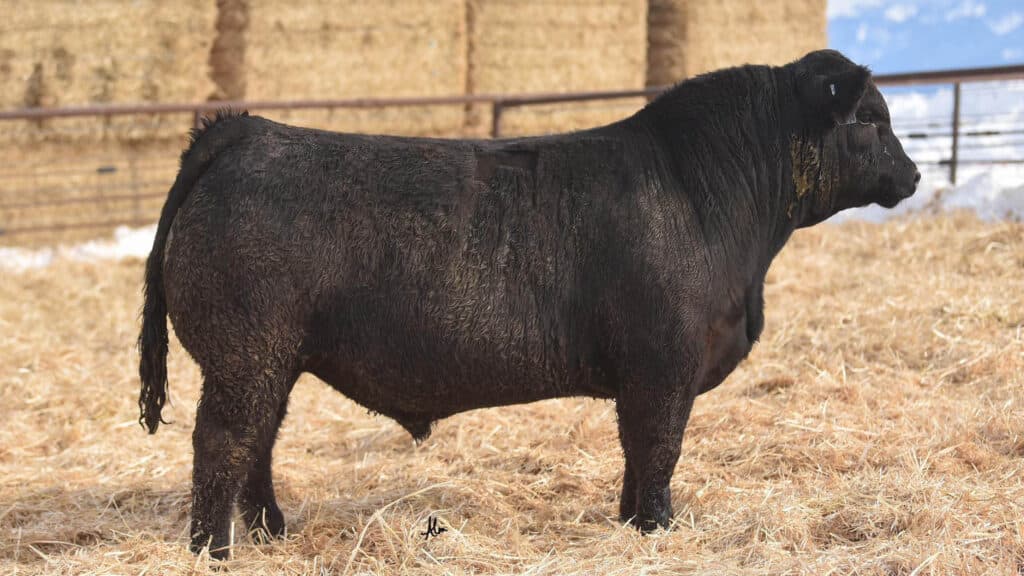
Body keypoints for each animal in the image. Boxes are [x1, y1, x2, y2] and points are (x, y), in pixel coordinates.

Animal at [138, 49, 918, 558]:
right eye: (870, 118)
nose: (911, 175)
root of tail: (248, 130)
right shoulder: (663, 366)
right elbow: (659, 449)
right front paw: (660, 529)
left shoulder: (644, 377)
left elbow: (637, 455)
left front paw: (631, 523)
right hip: (245, 355)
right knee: (224, 443)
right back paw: (212, 551)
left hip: (273, 360)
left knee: (259, 444)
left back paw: (271, 533)